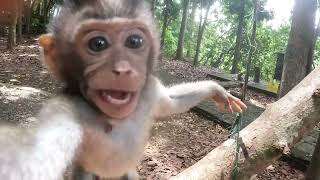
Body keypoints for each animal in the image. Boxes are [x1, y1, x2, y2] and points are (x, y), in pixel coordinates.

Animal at [0, 0, 246, 179]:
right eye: (98, 44)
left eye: (134, 41)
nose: (123, 69)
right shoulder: (67, 108)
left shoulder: (149, 91)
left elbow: (171, 102)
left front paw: (217, 90)